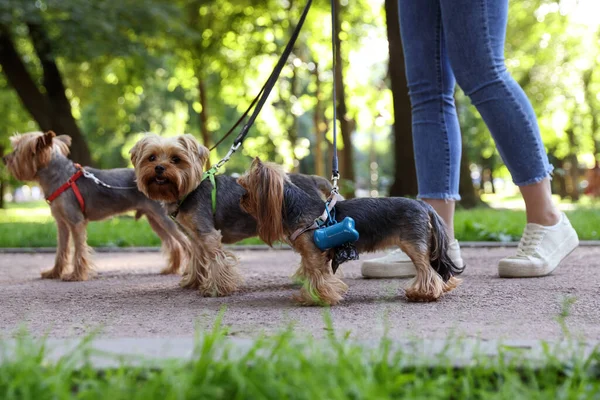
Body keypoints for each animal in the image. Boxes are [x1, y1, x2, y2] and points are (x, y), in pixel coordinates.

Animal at [1, 131, 190, 282]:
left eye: (17, 150)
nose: (4, 158)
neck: (60, 177)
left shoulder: (76, 222)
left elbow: (79, 250)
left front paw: (76, 275)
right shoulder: (62, 224)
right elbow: (61, 250)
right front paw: (54, 273)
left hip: (164, 219)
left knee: (186, 242)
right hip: (154, 219)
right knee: (173, 245)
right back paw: (171, 269)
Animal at [130, 133, 332, 296]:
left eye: (176, 159)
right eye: (151, 157)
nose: (159, 167)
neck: (187, 191)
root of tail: (313, 179)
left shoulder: (207, 234)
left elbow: (216, 260)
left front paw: (217, 289)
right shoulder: (195, 237)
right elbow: (197, 259)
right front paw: (192, 282)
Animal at [238, 159, 464, 306]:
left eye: (246, 188)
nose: (241, 199)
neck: (295, 206)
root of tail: (424, 205)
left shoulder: (313, 253)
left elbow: (317, 276)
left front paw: (316, 298)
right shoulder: (314, 254)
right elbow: (317, 274)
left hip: (413, 244)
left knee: (427, 270)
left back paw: (423, 294)